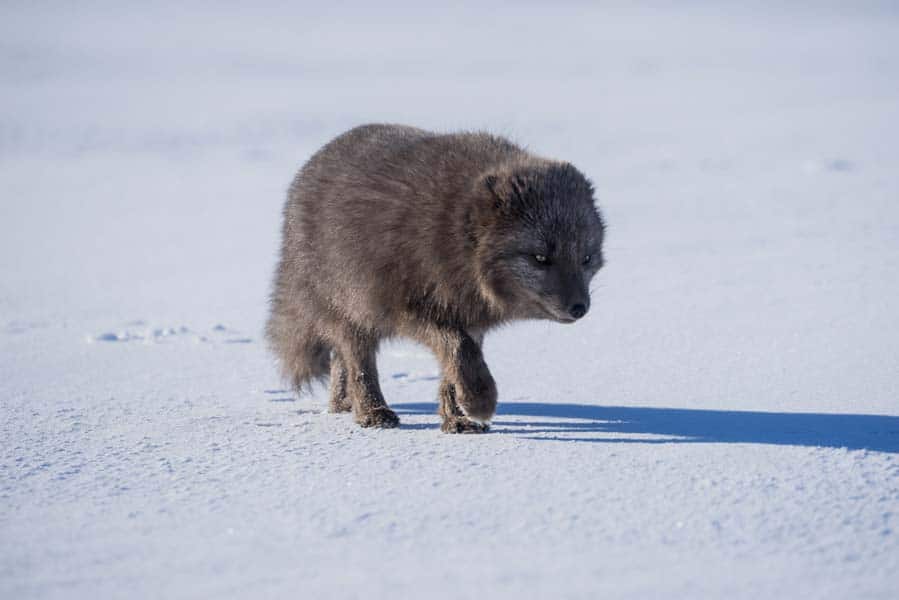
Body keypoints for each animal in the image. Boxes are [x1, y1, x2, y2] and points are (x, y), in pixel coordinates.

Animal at [268, 125, 604, 432]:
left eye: (586, 258)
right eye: (540, 257)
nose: (580, 308)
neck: (457, 233)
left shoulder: (469, 316)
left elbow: (456, 364)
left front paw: (458, 418)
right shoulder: (409, 308)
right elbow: (458, 349)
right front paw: (479, 402)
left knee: (341, 361)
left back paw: (342, 404)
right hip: (350, 306)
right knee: (358, 361)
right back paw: (372, 413)